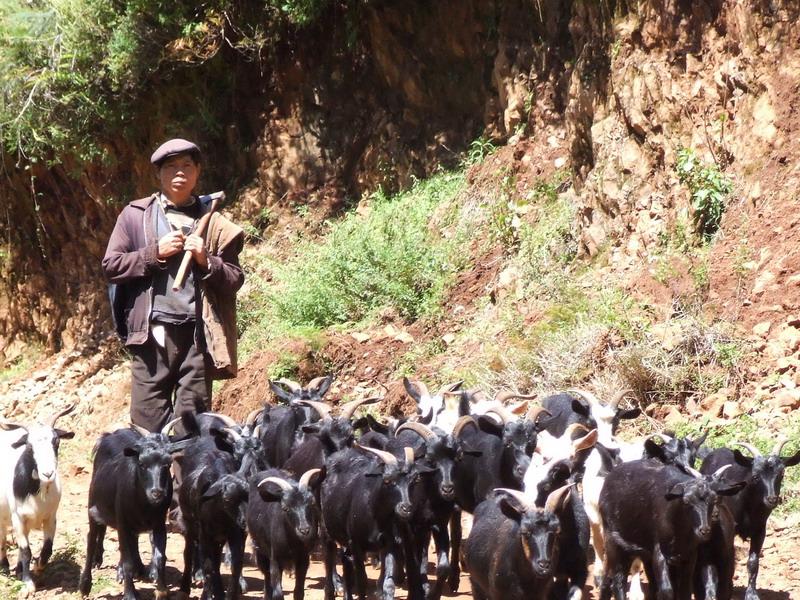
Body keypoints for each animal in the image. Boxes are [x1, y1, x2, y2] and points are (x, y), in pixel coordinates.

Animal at [0, 404, 74, 596]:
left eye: (56, 441)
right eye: (29, 446)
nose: (48, 474)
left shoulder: (51, 517)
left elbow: (47, 548)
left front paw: (38, 568)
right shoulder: (18, 518)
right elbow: (26, 550)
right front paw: (28, 584)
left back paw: (18, 570)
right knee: (3, 537)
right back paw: (4, 567)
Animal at [78, 426, 188, 600]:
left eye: (168, 463)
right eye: (142, 463)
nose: (157, 493)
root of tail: (111, 434)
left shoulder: (158, 523)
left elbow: (160, 557)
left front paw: (162, 590)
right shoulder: (123, 522)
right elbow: (127, 561)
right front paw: (130, 593)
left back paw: (137, 568)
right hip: (93, 508)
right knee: (92, 538)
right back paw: (86, 583)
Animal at [250, 468, 324, 600]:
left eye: (312, 503)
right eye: (285, 508)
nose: (304, 530)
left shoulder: (303, 558)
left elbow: (299, 592)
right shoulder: (275, 559)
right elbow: (278, 593)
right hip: (260, 550)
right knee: (267, 580)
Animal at [600, 460, 744, 600]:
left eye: (715, 499)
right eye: (686, 501)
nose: (704, 529)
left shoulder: (690, 555)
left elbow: (685, 590)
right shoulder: (659, 552)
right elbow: (666, 590)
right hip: (614, 544)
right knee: (617, 581)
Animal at [700, 436, 800, 600]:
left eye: (782, 474)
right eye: (755, 476)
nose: (772, 499)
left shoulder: (760, 529)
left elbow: (753, 562)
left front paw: (751, 594)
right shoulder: (730, 527)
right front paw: (728, 589)